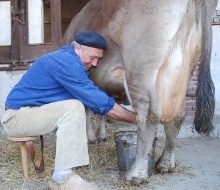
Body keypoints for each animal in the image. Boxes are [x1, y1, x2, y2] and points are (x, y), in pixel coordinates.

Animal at [61, 0, 217, 185]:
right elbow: (101, 110)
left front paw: (90, 137)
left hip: (141, 69)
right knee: (178, 115)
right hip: (183, 70)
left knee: (149, 116)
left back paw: (135, 174)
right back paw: (165, 164)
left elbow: (85, 109)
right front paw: (100, 135)